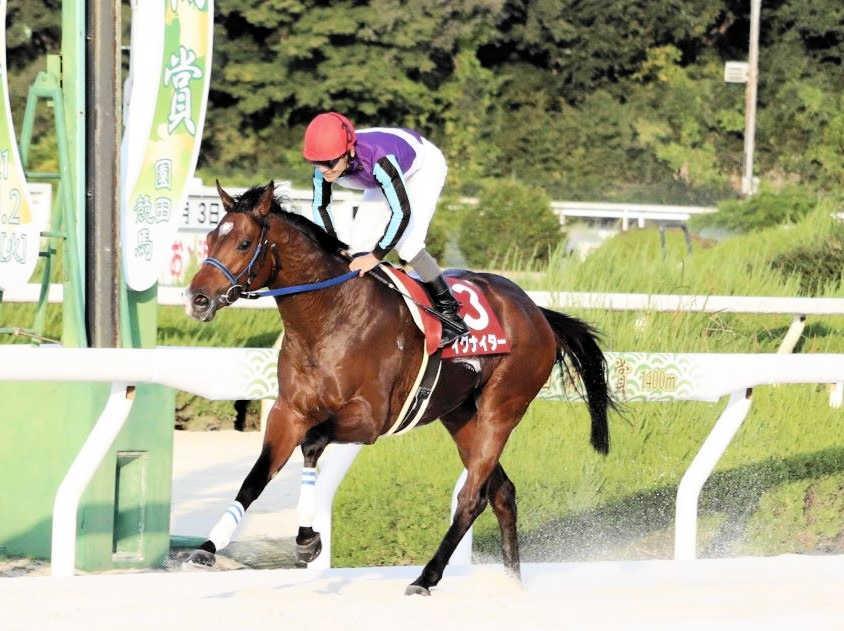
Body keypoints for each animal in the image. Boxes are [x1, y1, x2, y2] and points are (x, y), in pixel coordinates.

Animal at [184, 181, 612, 595]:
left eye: (243, 243)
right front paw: (207, 547)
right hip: (460, 416)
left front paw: (307, 539)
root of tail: (536, 311)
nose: (197, 299)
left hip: (501, 409)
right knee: (502, 493)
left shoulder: (370, 418)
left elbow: (313, 443)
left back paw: (426, 578)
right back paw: (511, 584)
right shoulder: (289, 411)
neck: (329, 315)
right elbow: (255, 478)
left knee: (471, 498)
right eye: (210, 238)